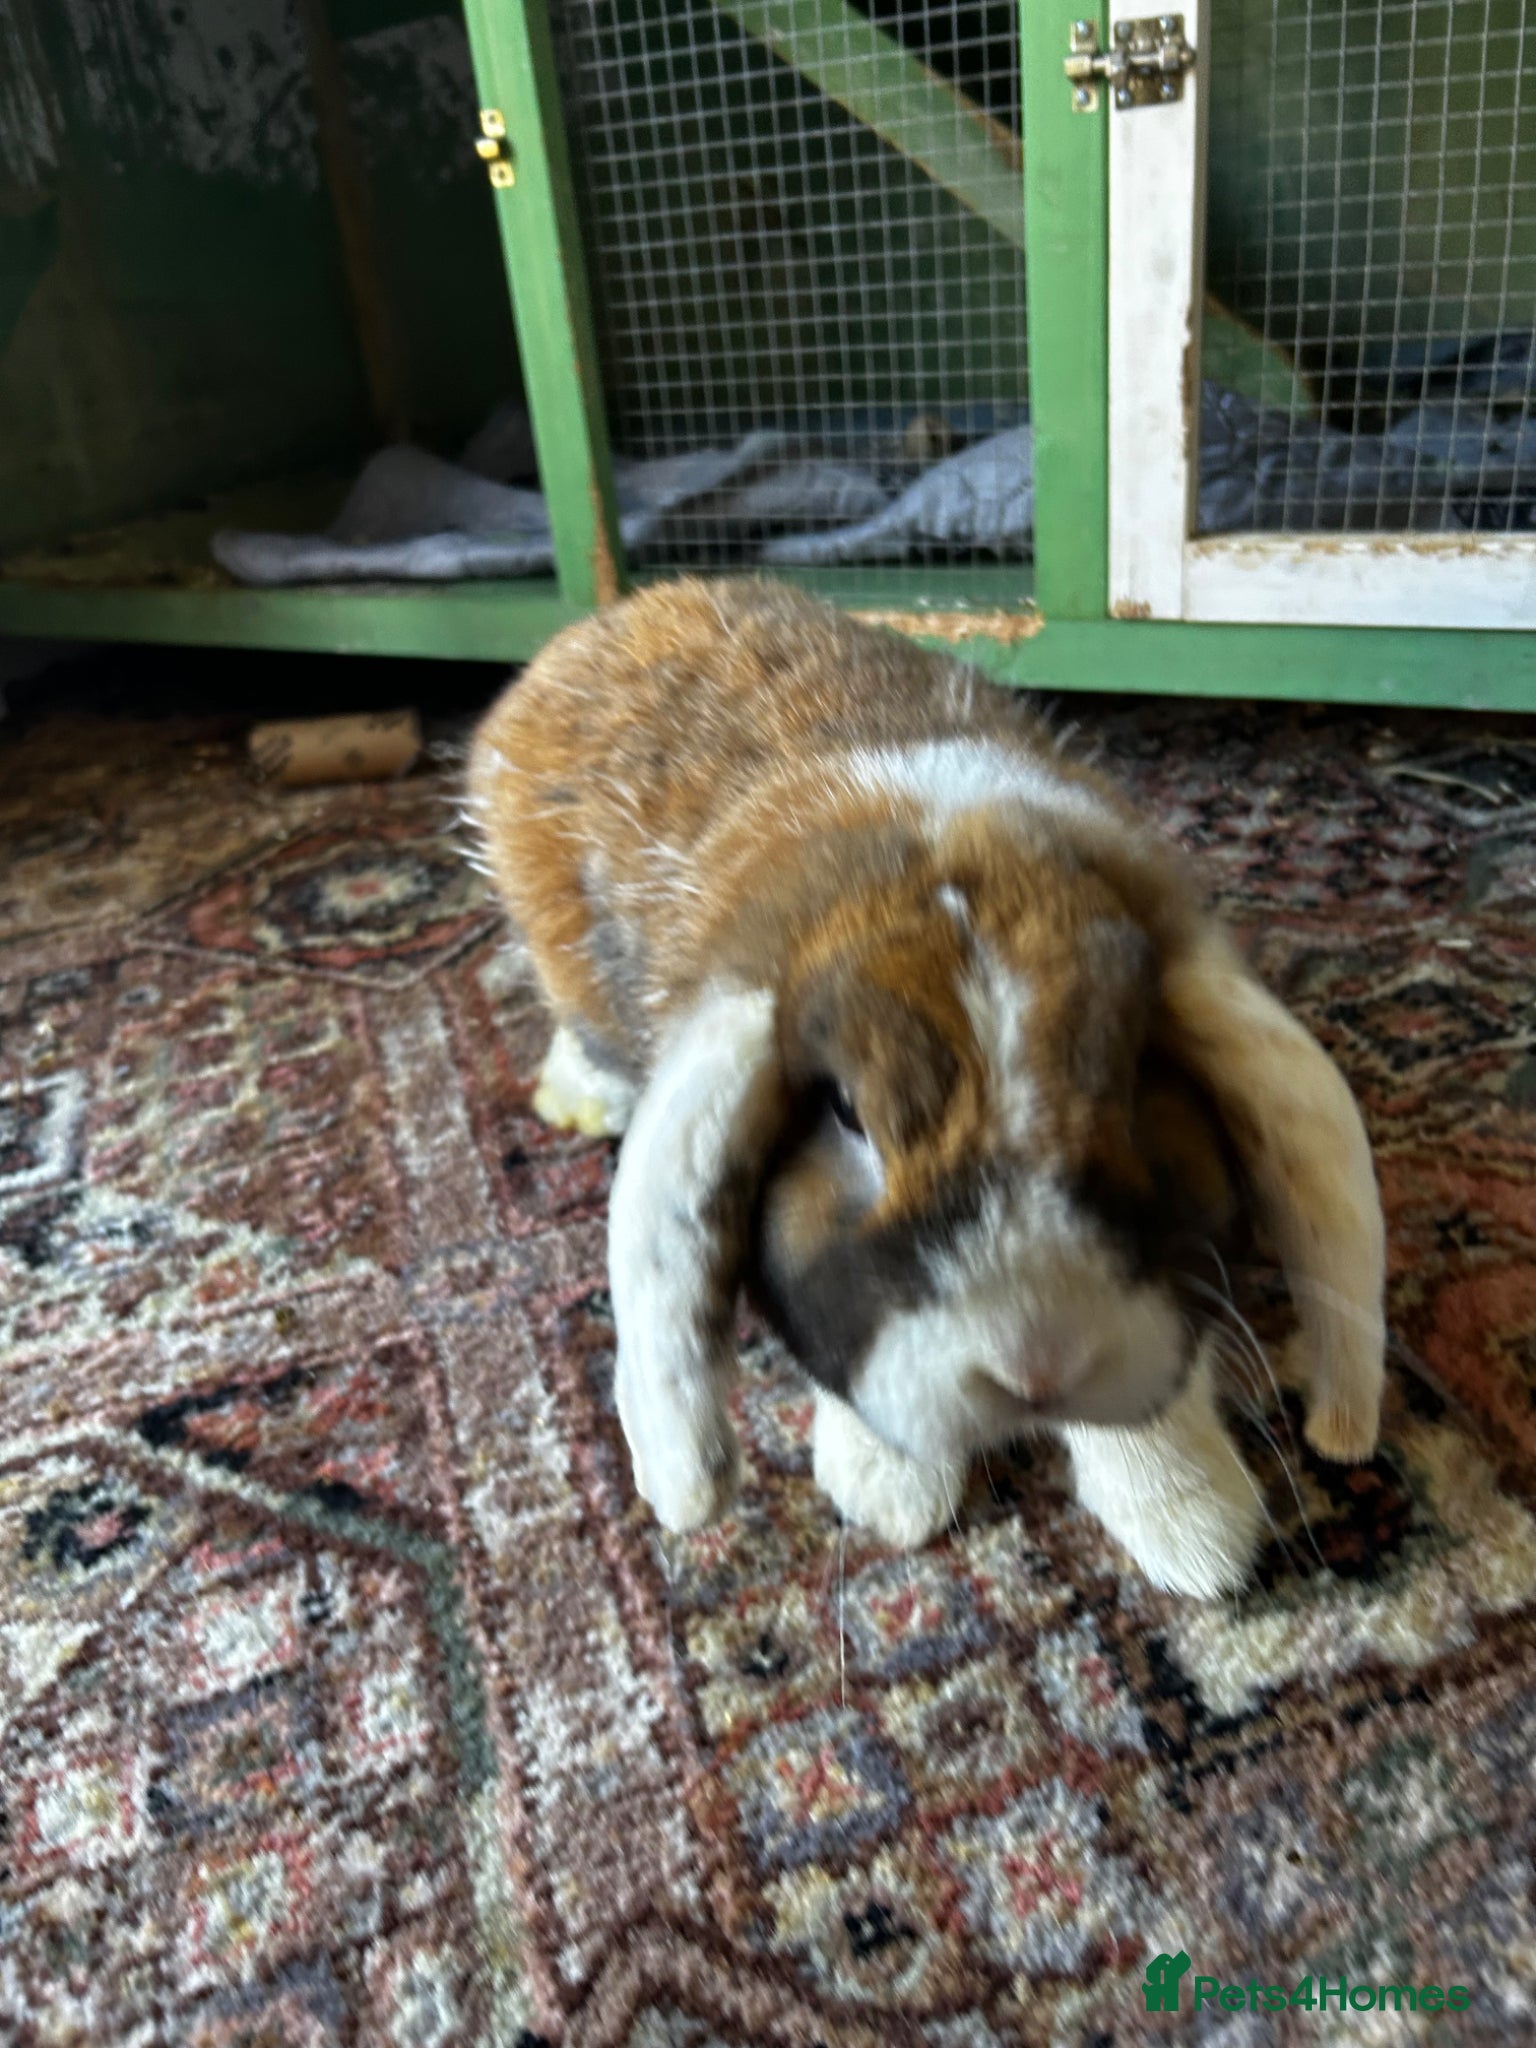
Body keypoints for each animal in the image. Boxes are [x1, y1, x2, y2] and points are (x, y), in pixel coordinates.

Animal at [466, 578, 1385, 1598]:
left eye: (1134, 1072)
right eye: (845, 1113)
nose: (1037, 1365)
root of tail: (623, 612)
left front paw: (1198, 1537)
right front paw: (888, 1496)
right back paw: (579, 1102)